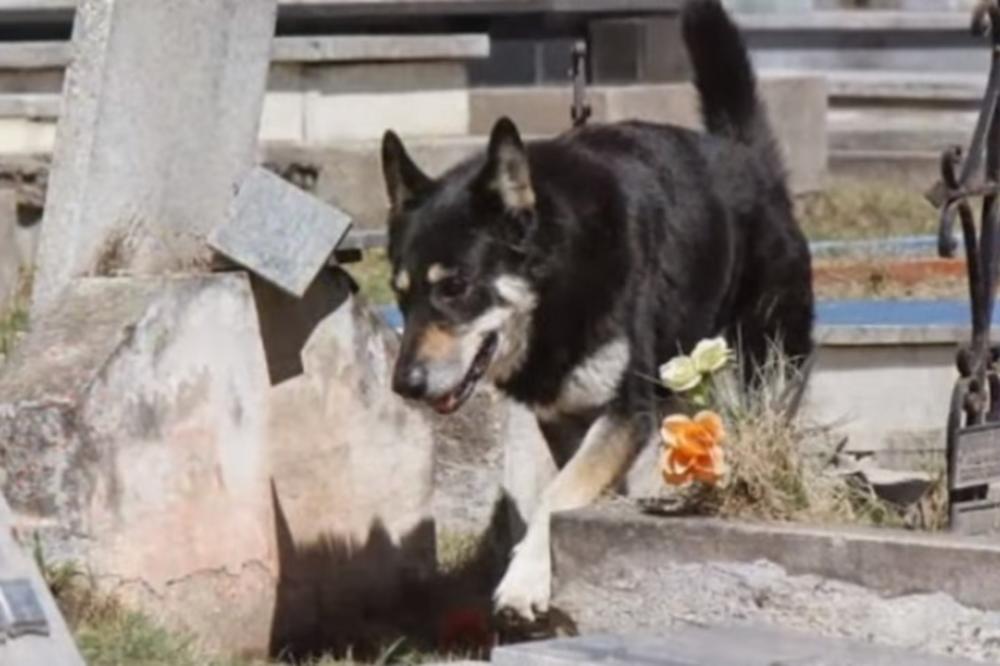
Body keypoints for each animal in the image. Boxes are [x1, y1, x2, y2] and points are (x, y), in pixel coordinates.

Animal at [378, 0, 816, 624]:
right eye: (401, 294)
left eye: (456, 286)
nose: (405, 385)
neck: (559, 283)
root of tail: (748, 158)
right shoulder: (567, 415)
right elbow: (563, 489)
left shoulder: (623, 408)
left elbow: (555, 496)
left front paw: (524, 580)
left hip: (763, 369)